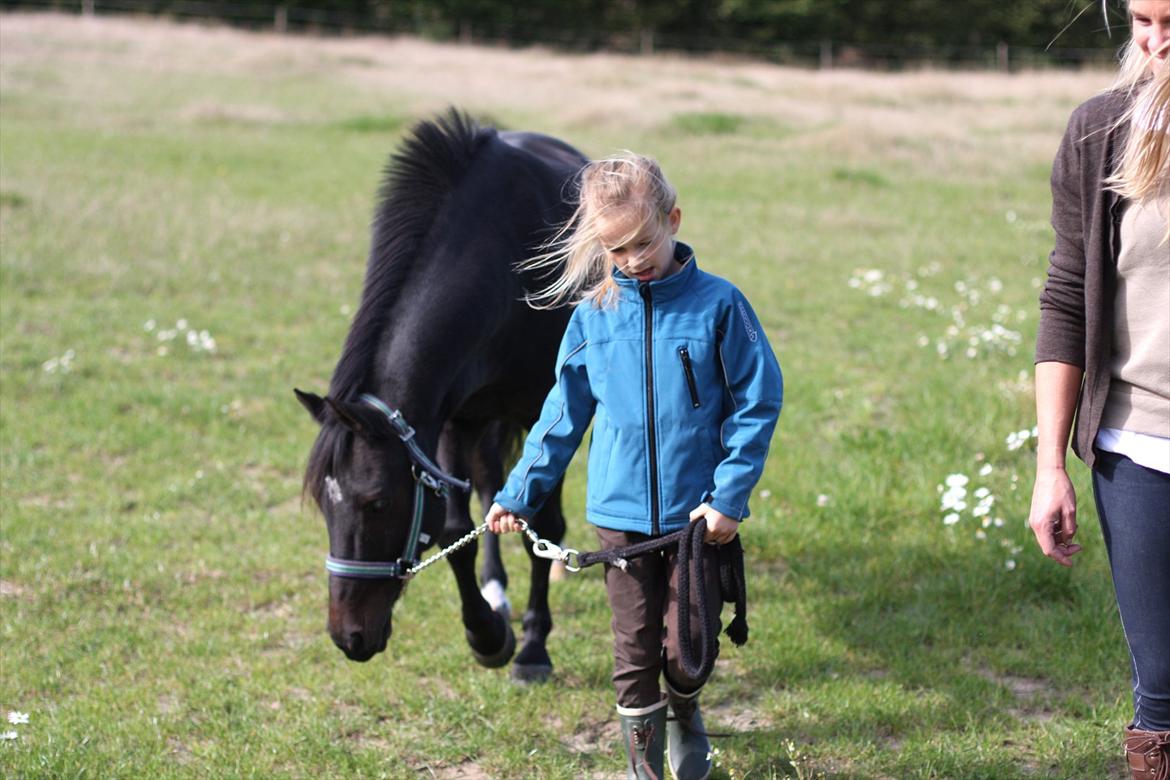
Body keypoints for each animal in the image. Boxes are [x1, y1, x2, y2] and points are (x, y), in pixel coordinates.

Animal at [294, 107, 582, 678]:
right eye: (322, 503)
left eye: (377, 503)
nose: (348, 637)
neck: (504, 263)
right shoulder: (447, 417)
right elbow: (454, 531)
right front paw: (488, 635)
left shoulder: (544, 408)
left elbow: (544, 523)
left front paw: (532, 649)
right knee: (492, 485)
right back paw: (496, 592)